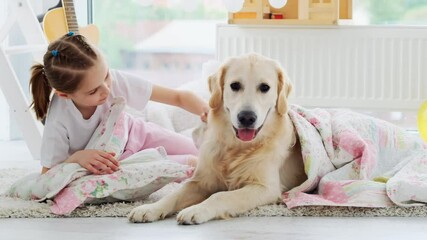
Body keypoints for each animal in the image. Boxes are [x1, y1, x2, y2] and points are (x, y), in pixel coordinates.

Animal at [128, 53, 308, 224]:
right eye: (235, 85)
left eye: (265, 87)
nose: (247, 117)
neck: (236, 147)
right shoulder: (200, 181)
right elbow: (173, 194)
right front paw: (150, 208)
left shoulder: (265, 188)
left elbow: (220, 195)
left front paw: (196, 210)